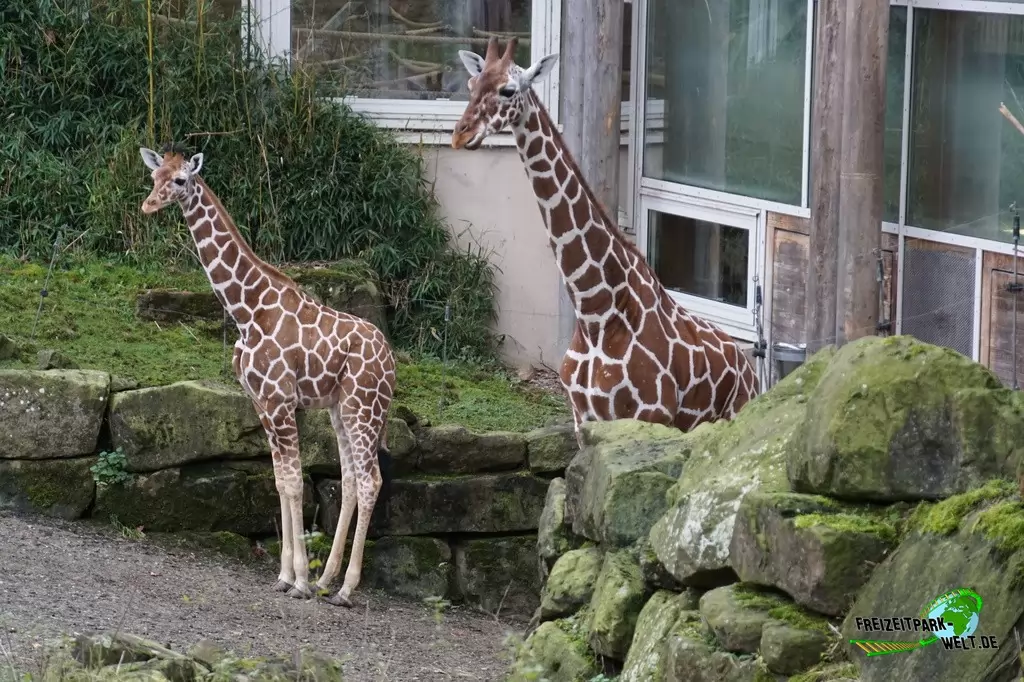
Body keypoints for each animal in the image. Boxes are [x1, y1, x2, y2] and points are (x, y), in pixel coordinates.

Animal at [138, 144, 396, 607]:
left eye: (181, 180)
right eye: (154, 177)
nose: (149, 205)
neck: (247, 311)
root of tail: (391, 360)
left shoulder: (279, 400)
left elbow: (293, 482)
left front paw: (298, 580)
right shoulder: (260, 402)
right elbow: (279, 481)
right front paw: (286, 576)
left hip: (363, 407)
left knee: (370, 480)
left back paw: (345, 589)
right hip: (340, 409)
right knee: (350, 480)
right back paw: (328, 578)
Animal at [451, 39, 760, 441]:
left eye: (508, 90)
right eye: (471, 86)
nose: (461, 134)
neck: (596, 314)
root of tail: (752, 371)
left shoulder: (650, 414)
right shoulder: (584, 417)